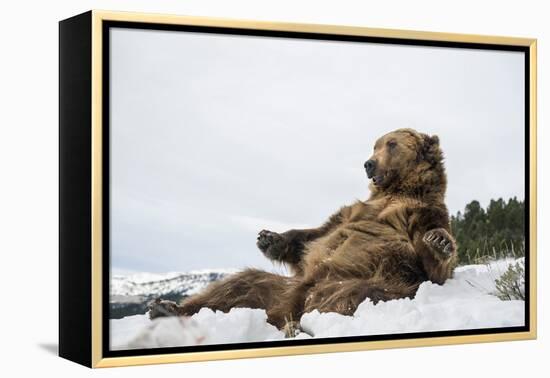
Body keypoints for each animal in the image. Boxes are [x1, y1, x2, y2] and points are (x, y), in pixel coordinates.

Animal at [149, 128, 460, 336]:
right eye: (376, 145)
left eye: (392, 144)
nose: (369, 163)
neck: (398, 190)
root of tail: (285, 307)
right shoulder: (354, 211)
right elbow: (316, 235)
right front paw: (268, 238)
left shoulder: (421, 214)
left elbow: (431, 266)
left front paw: (438, 241)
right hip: (276, 288)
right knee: (237, 285)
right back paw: (167, 308)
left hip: (356, 280)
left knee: (354, 294)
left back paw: (298, 326)